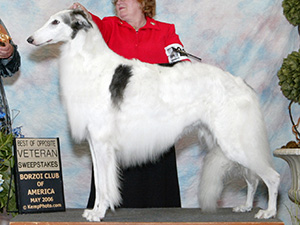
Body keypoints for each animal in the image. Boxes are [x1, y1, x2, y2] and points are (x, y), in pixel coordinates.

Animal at [27, 9, 280, 221]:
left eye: (56, 22)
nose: (30, 39)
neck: (90, 62)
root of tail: (243, 84)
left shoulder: (101, 142)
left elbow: (104, 184)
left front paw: (98, 212)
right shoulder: (95, 142)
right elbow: (99, 182)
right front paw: (95, 210)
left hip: (234, 140)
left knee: (271, 176)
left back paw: (268, 212)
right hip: (230, 143)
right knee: (252, 178)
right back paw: (246, 206)